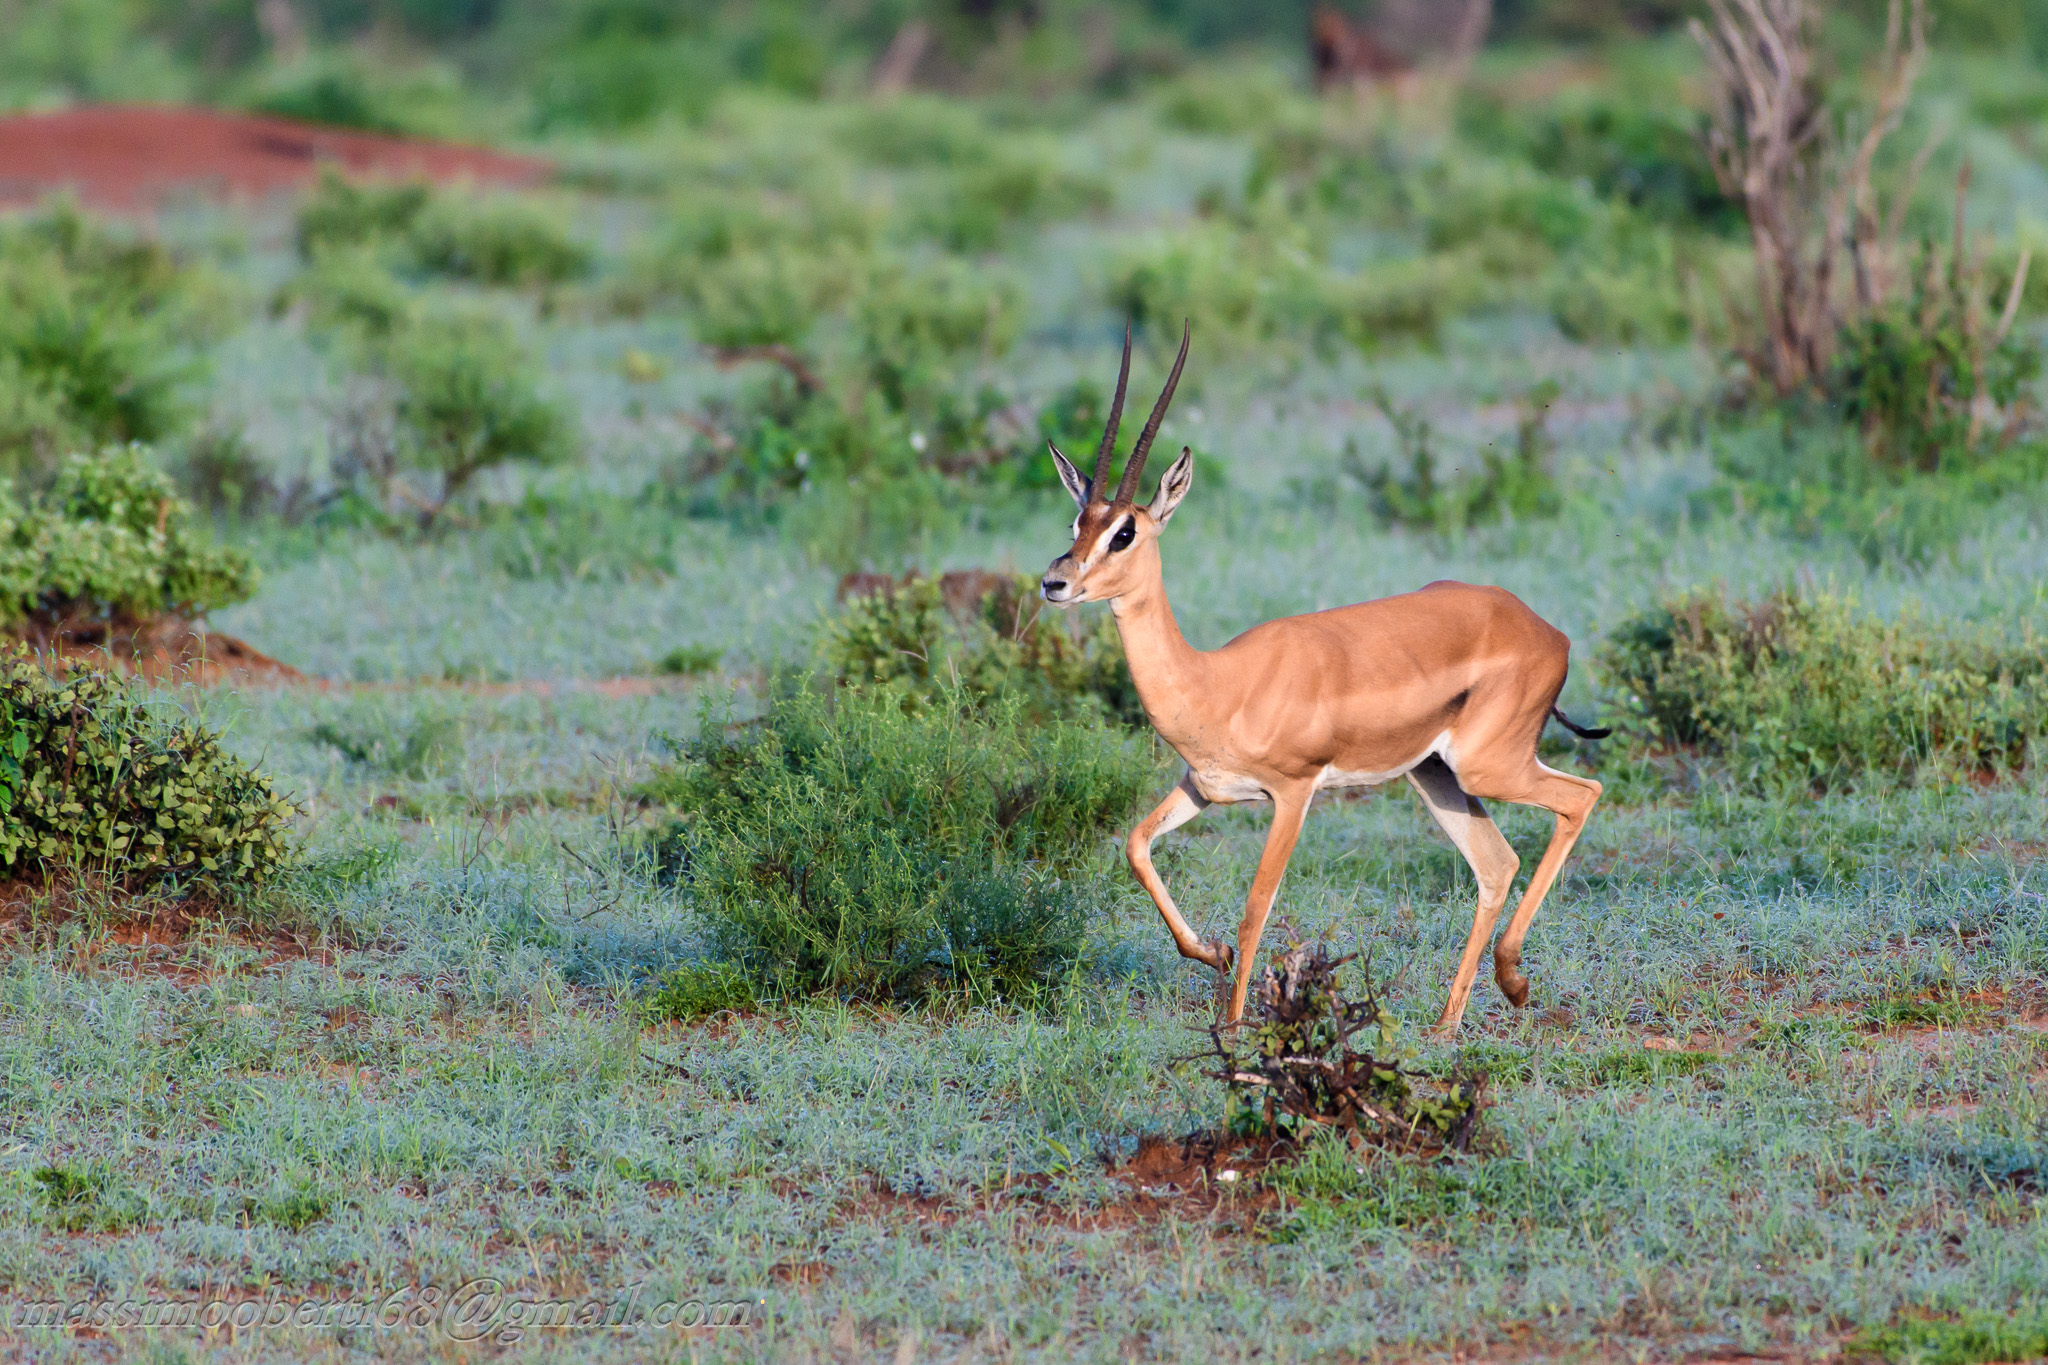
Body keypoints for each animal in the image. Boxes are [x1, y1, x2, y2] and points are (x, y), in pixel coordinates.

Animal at [1039, 326, 1608, 1037]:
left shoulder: (1293, 792)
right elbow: (1137, 844)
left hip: (1486, 767)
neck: (1218, 683)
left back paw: (1514, 982)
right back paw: (1447, 1026)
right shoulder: (1204, 787)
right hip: (1435, 775)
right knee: (1497, 863)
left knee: (1581, 796)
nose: (1055, 582)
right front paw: (1210, 954)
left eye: (1125, 532)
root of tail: (1549, 632)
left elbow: (1256, 903)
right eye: (1077, 523)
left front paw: (1233, 1025)